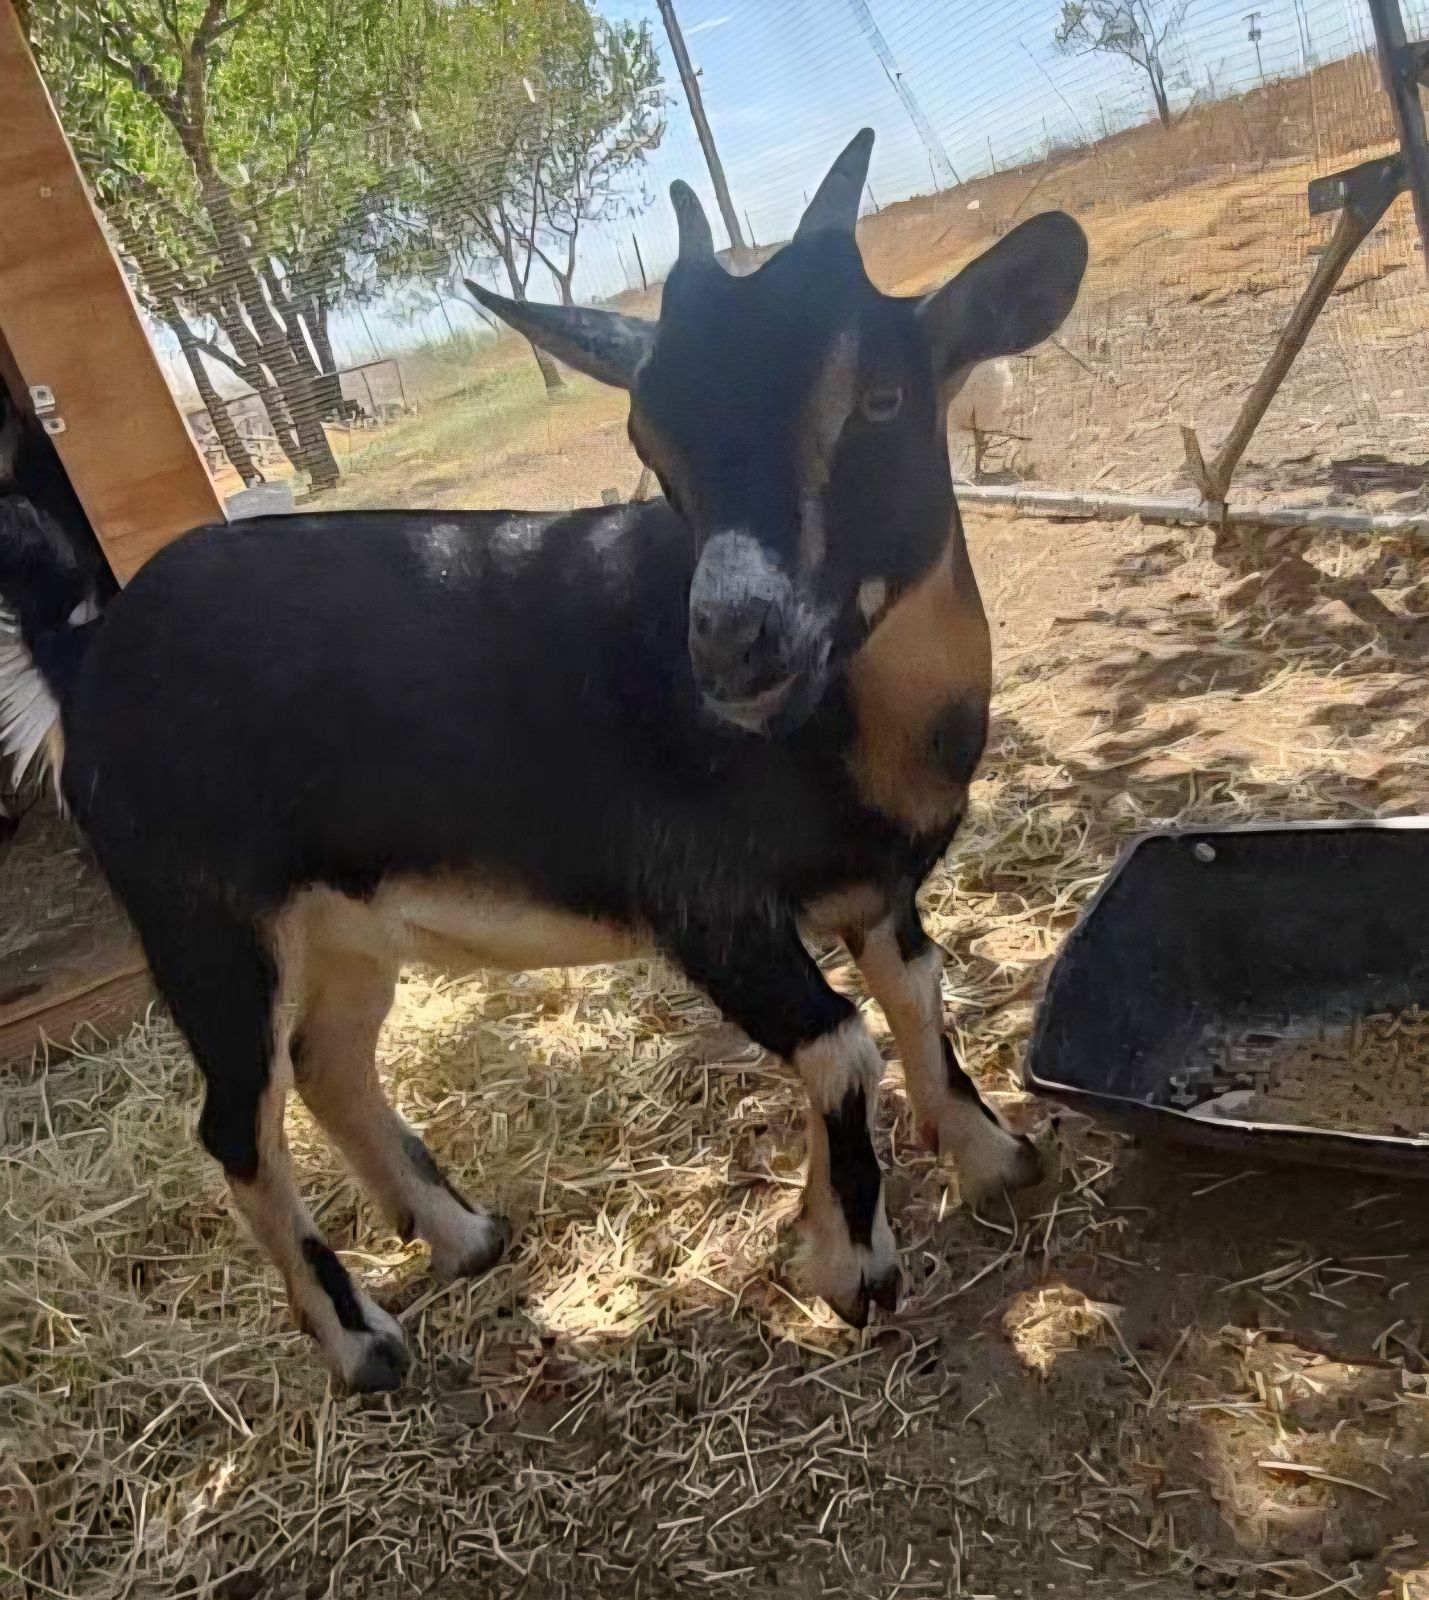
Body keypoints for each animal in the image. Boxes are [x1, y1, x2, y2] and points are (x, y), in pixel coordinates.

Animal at [0, 130, 1087, 1391]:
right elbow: (840, 1047)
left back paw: (465, 1233)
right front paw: (849, 1259)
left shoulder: (877, 891)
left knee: (328, 1064)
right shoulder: (706, 903)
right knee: (235, 1122)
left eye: (878, 397)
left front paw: (991, 1155)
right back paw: (361, 1342)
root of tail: (87, 656)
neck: (838, 734)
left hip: (339, 923)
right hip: (203, 922)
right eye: (647, 442)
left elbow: (915, 998)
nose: (731, 638)